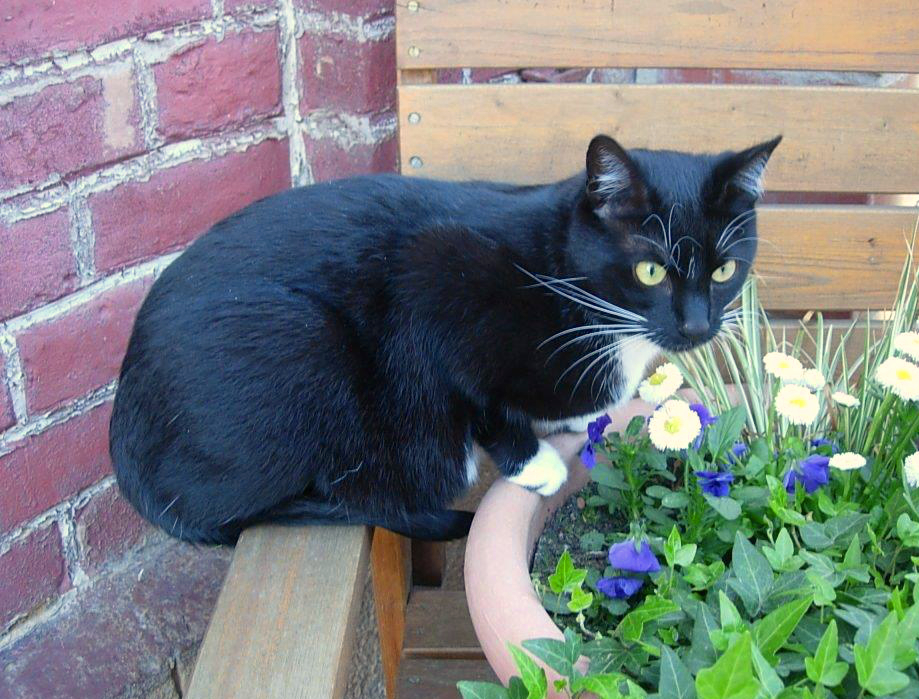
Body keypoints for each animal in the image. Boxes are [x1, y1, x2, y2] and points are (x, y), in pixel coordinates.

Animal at [111, 134, 780, 544]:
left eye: (725, 269)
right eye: (650, 271)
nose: (696, 326)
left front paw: (567, 421)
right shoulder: (431, 274)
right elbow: (470, 389)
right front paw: (531, 461)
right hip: (304, 343)